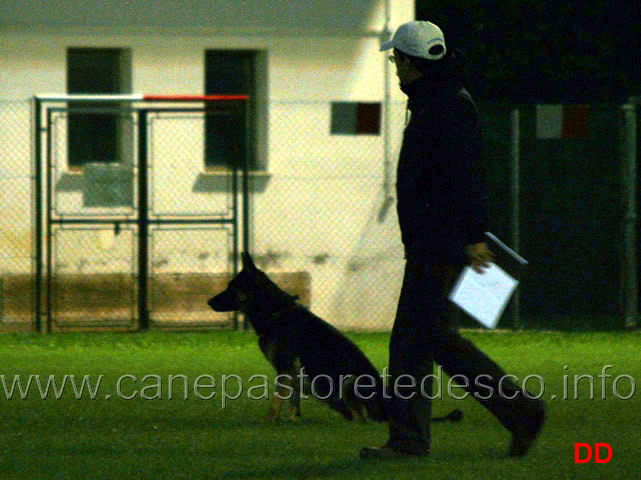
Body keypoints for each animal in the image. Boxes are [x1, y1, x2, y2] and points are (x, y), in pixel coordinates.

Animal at [208, 253, 462, 426]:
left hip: (348, 382)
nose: (209, 302)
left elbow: (276, 402)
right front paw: (291, 422)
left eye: (232, 287)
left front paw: (270, 422)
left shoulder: (285, 370)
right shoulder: (292, 374)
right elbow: (292, 404)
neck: (275, 312)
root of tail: (389, 408)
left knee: (360, 418)